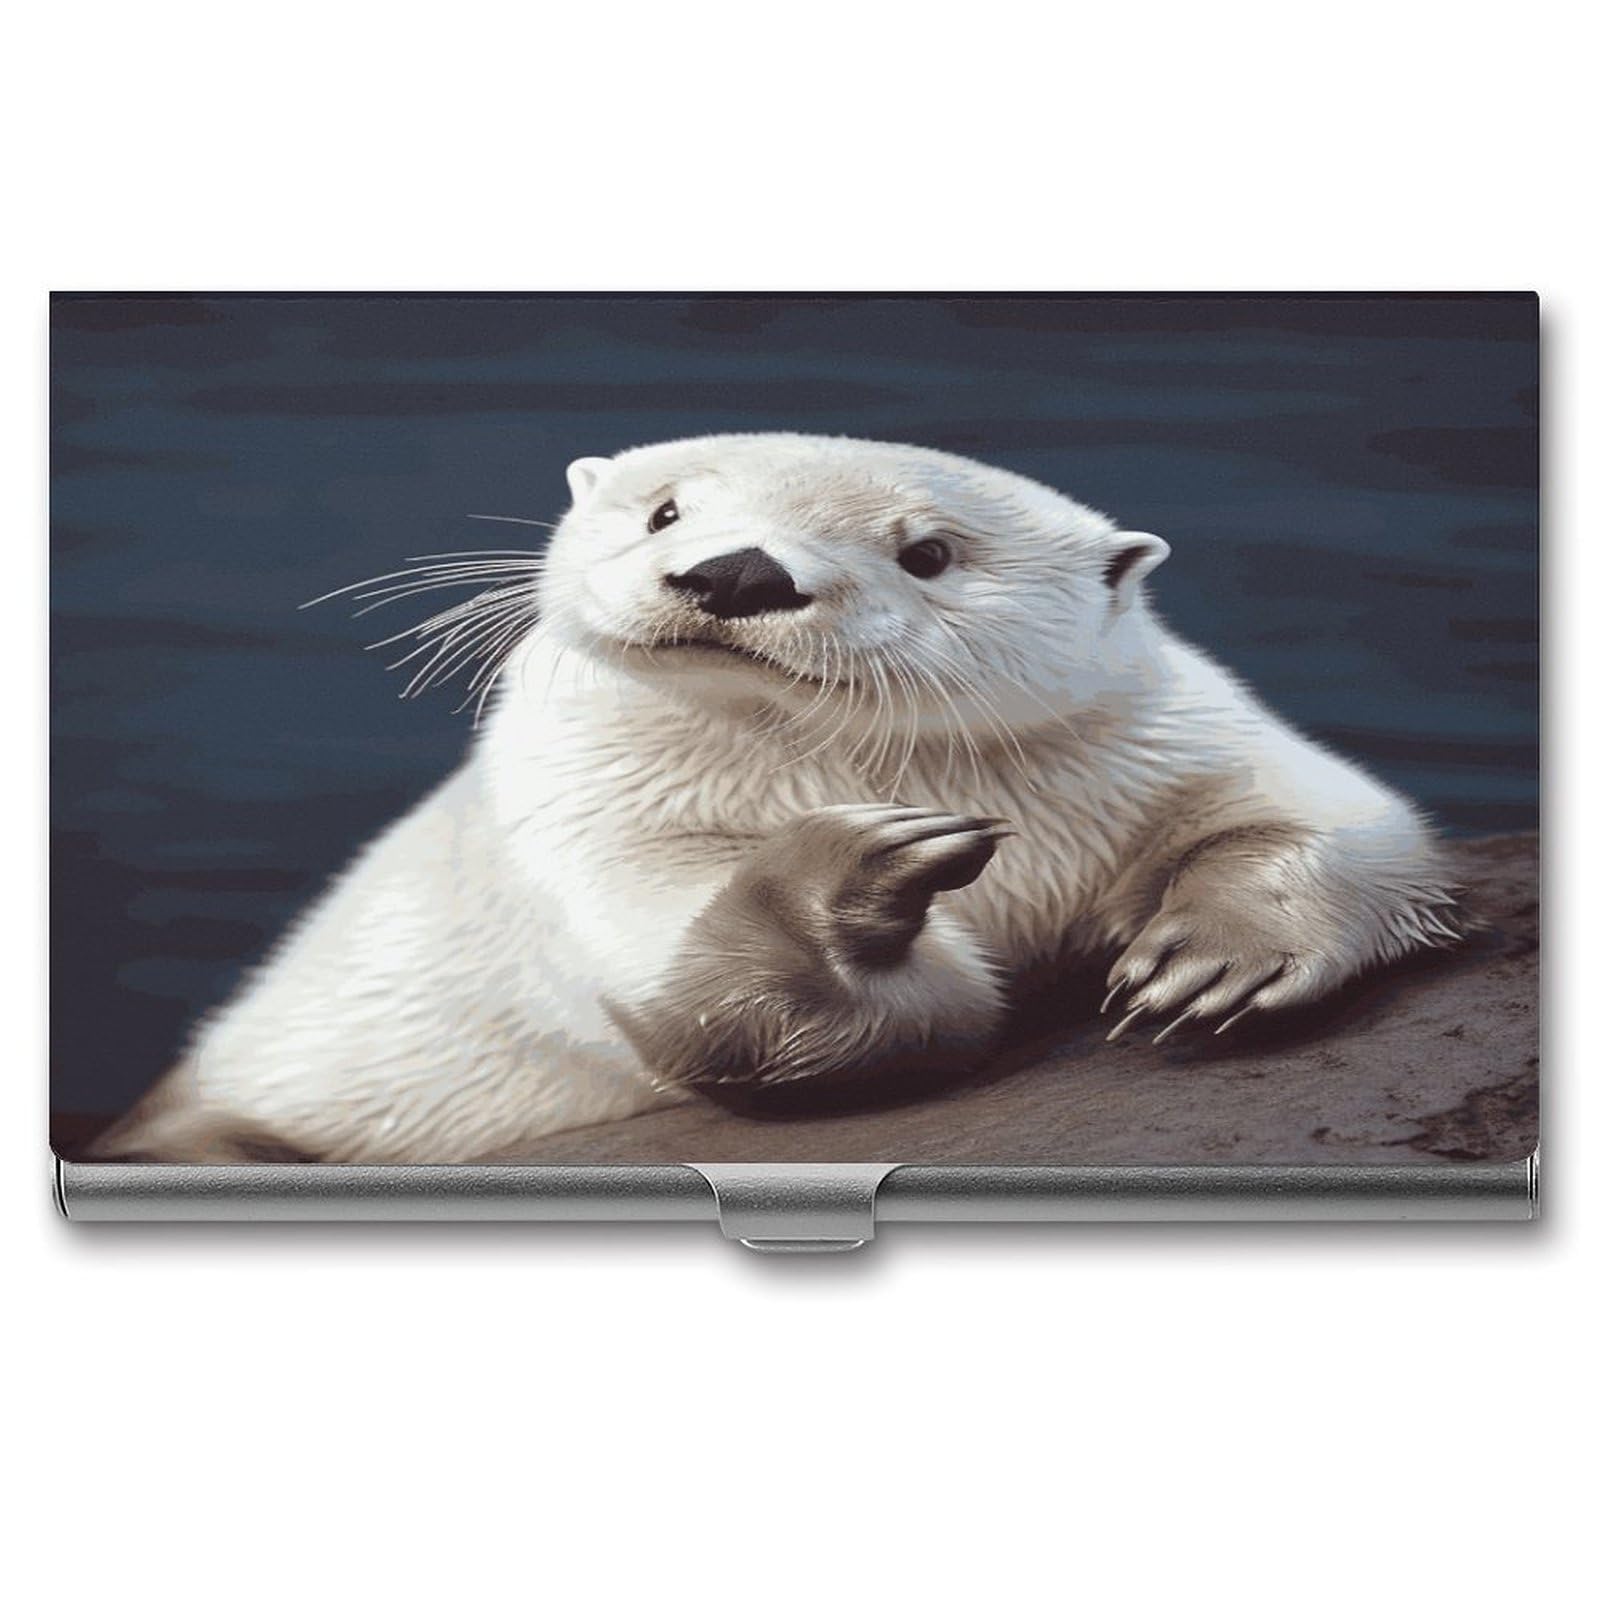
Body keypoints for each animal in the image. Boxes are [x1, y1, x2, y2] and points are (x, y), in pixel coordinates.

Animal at [94, 434, 1460, 1163]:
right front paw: (864, 870)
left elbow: (1336, 817)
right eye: (663, 508)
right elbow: (755, 1010)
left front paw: (1210, 958)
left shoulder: (1160, 732)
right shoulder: (591, 826)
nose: (735, 569)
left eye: (928, 551)